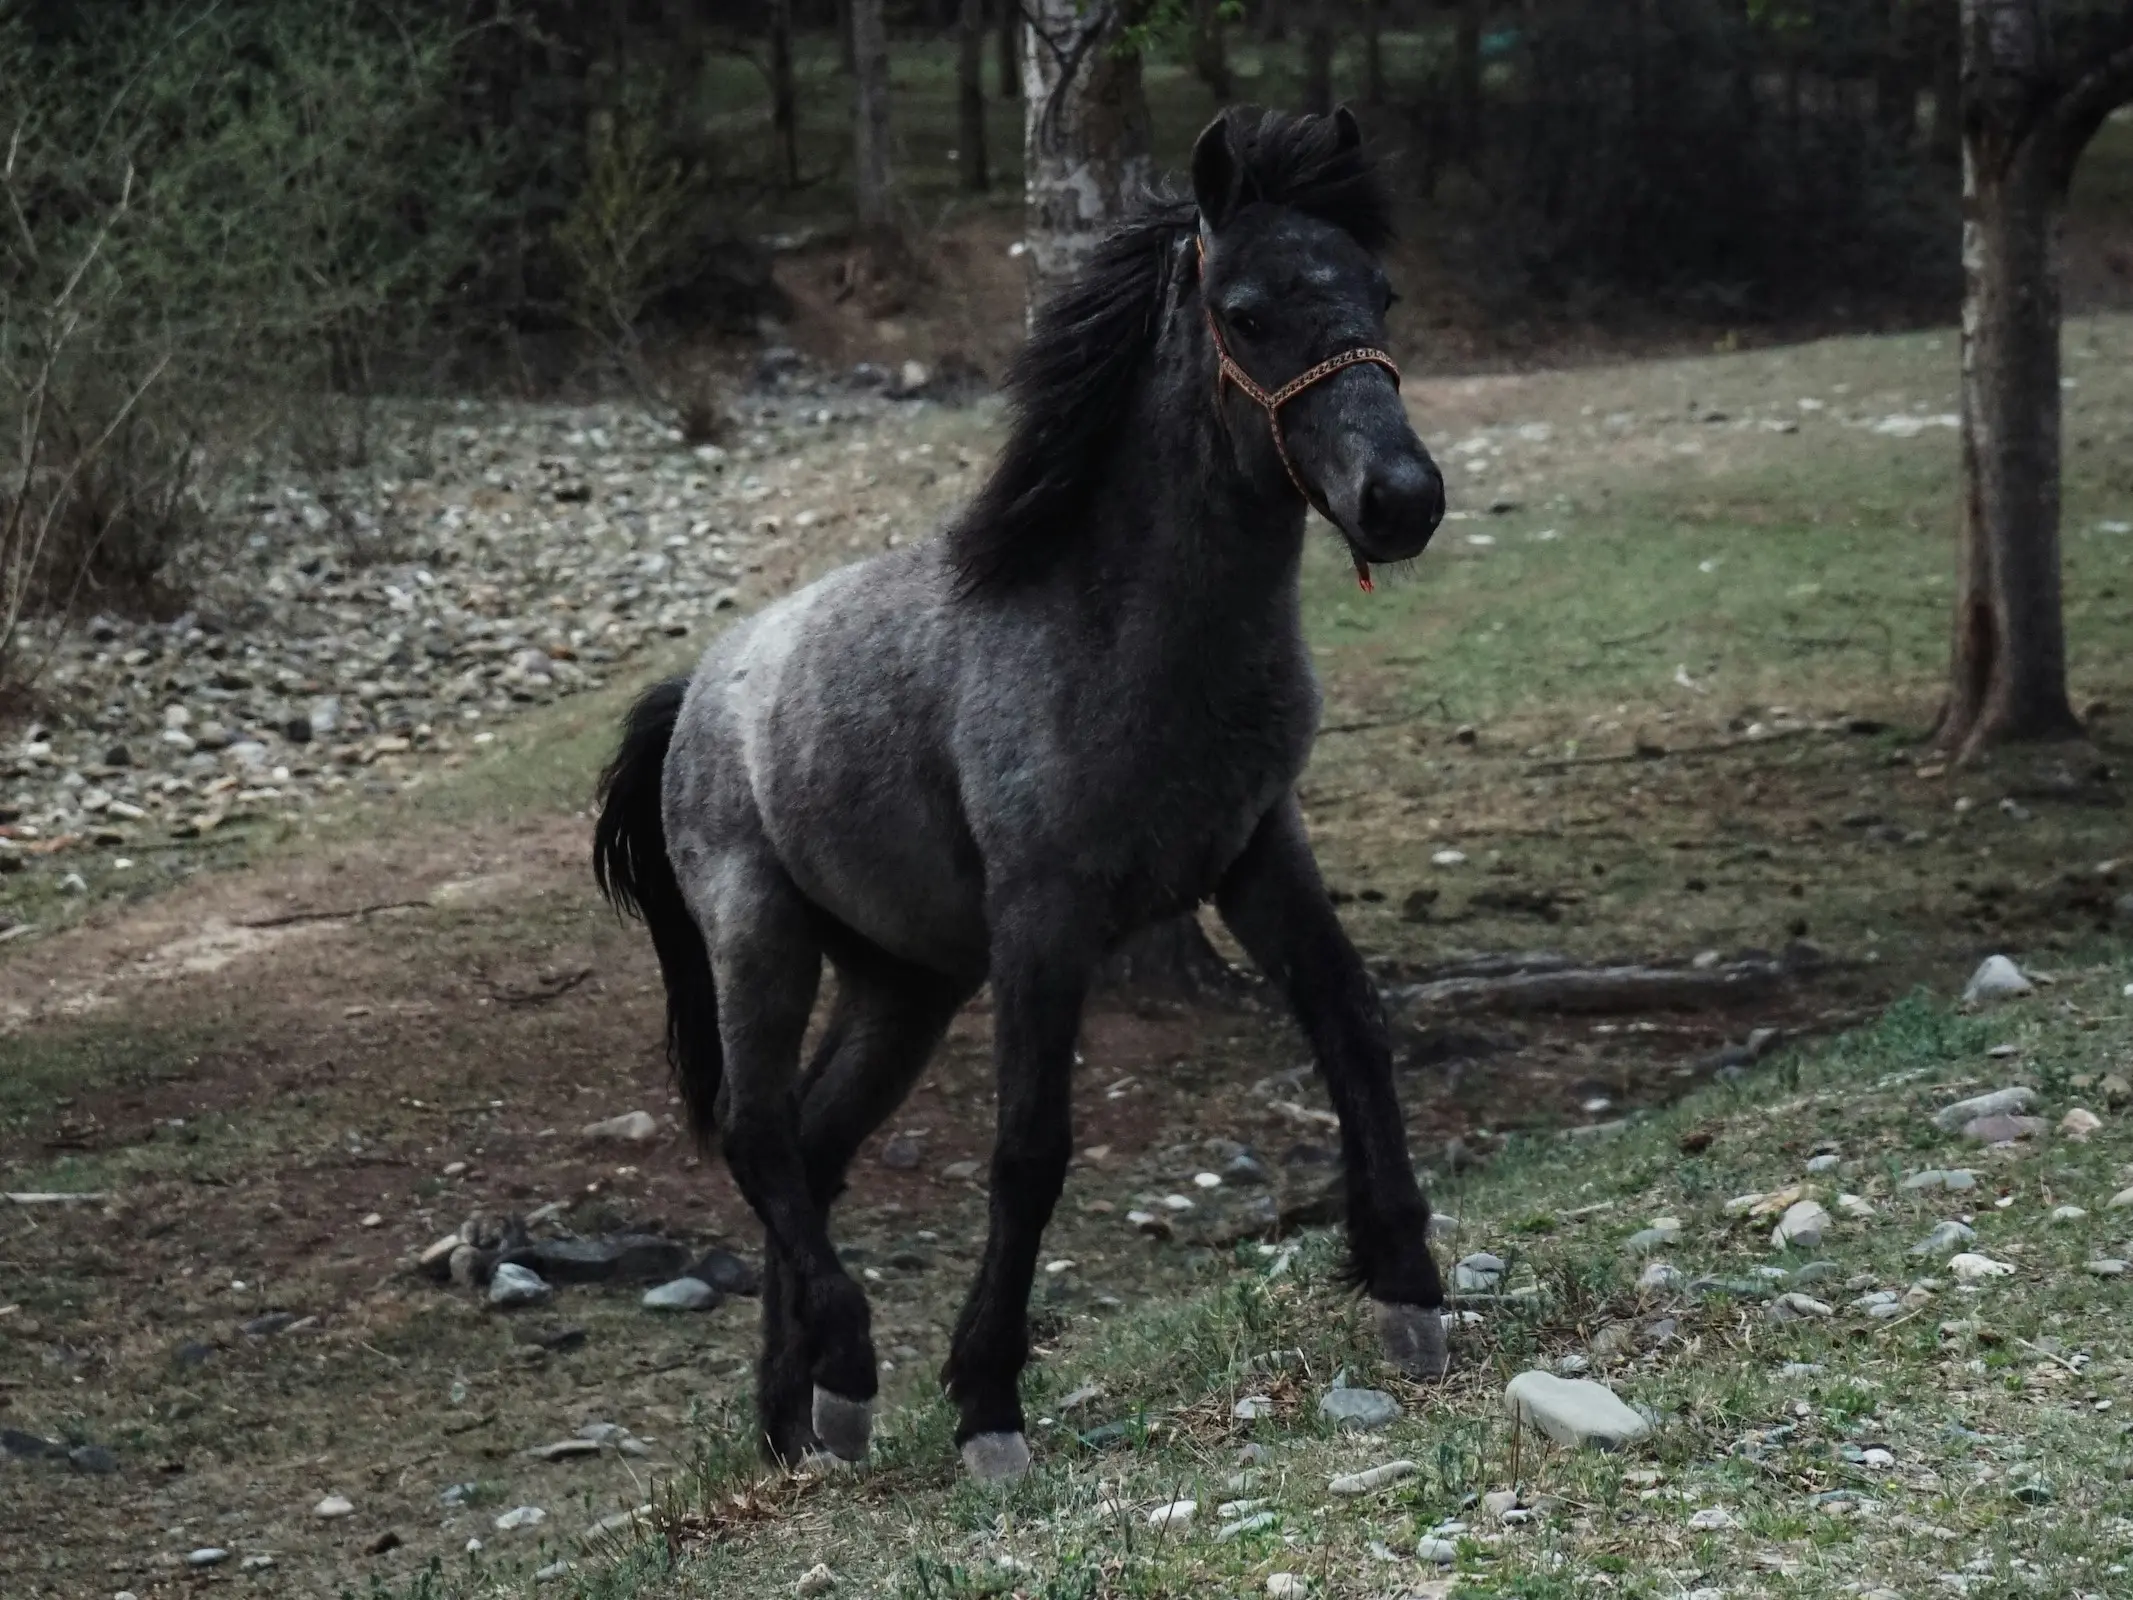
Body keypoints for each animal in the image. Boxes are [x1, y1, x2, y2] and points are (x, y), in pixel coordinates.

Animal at [597, 103, 1450, 1493]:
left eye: (1379, 293)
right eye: (1249, 310)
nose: (1403, 499)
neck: (1113, 632)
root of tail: (697, 690)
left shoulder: (1258, 854)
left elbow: (1352, 1030)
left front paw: (1408, 1286)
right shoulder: (1045, 915)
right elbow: (1029, 1146)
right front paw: (988, 1398)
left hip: (905, 986)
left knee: (813, 1150)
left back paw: (796, 1415)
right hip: (761, 938)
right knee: (756, 1132)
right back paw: (848, 1372)